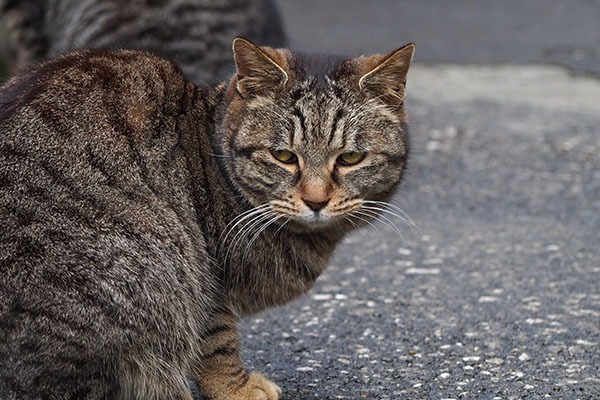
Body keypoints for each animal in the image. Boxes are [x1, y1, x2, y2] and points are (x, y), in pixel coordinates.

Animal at [0, 38, 412, 400]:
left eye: (350, 159)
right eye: (283, 156)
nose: (316, 201)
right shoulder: (209, 277)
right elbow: (217, 344)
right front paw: (236, 388)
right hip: (153, 259)